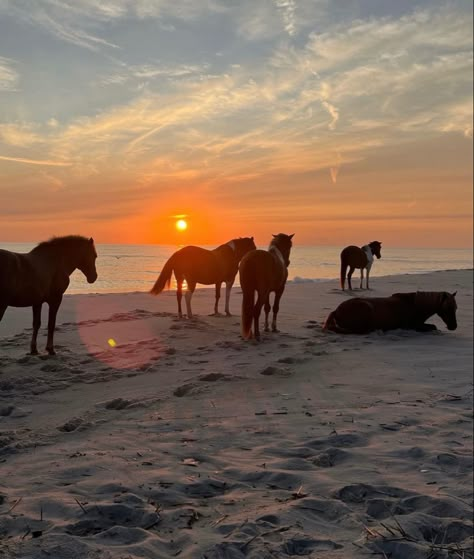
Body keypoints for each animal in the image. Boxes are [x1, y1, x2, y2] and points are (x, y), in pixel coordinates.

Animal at [324, 290, 458, 334]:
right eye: (448, 308)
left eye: (455, 308)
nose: (454, 326)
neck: (414, 305)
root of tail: (337, 310)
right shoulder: (413, 326)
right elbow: (433, 327)